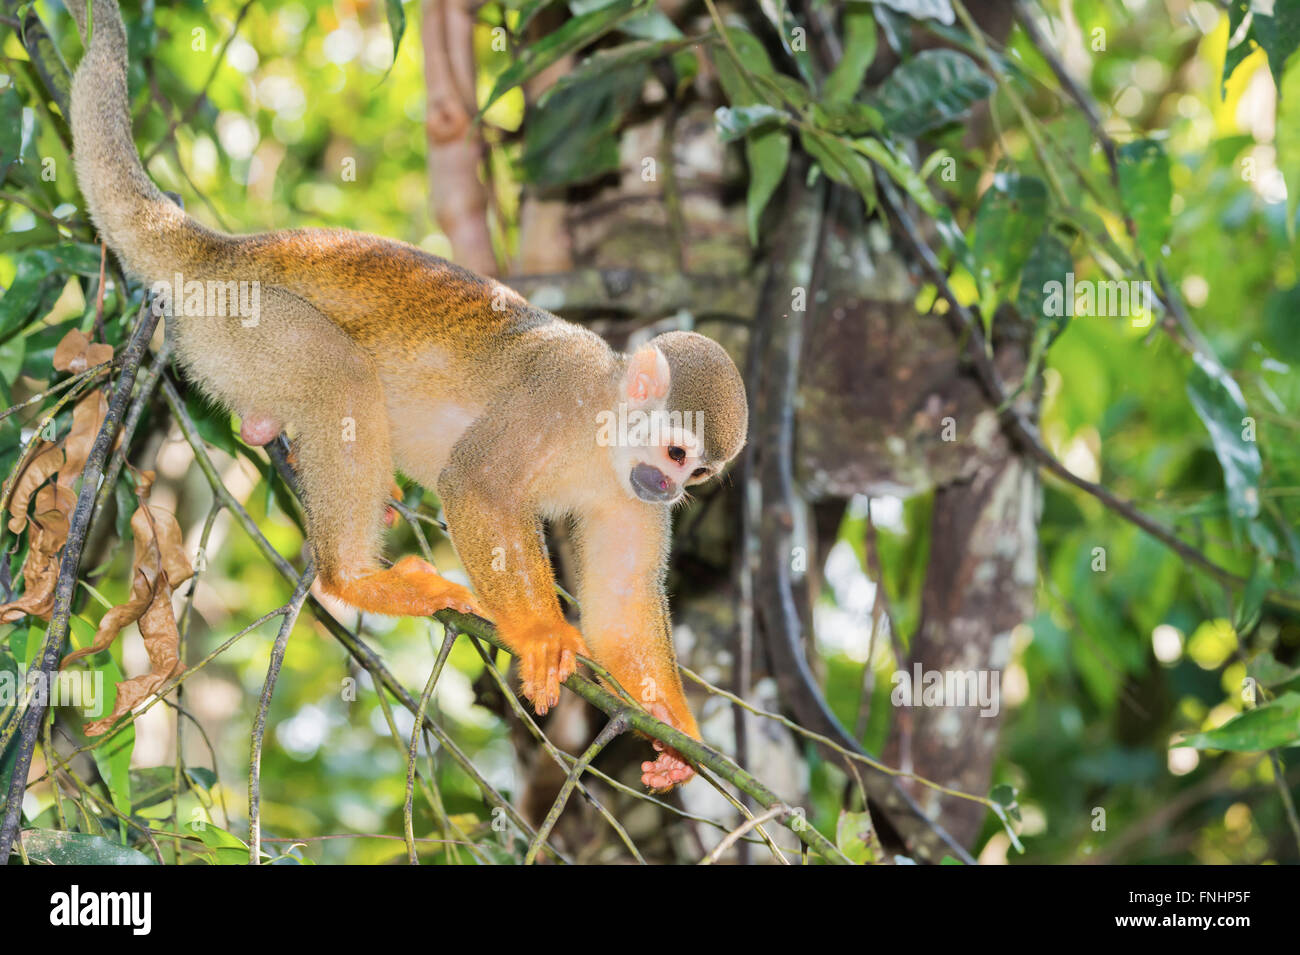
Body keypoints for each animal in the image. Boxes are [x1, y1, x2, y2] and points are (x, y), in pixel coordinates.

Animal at [65, 1, 748, 789]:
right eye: (677, 452)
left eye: (699, 471)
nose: (672, 489)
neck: (604, 432)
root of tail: (223, 253)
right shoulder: (560, 386)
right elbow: (476, 482)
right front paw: (540, 633)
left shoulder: (630, 498)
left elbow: (619, 606)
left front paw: (674, 731)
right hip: (245, 321)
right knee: (340, 374)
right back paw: (354, 577)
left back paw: (279, 445)